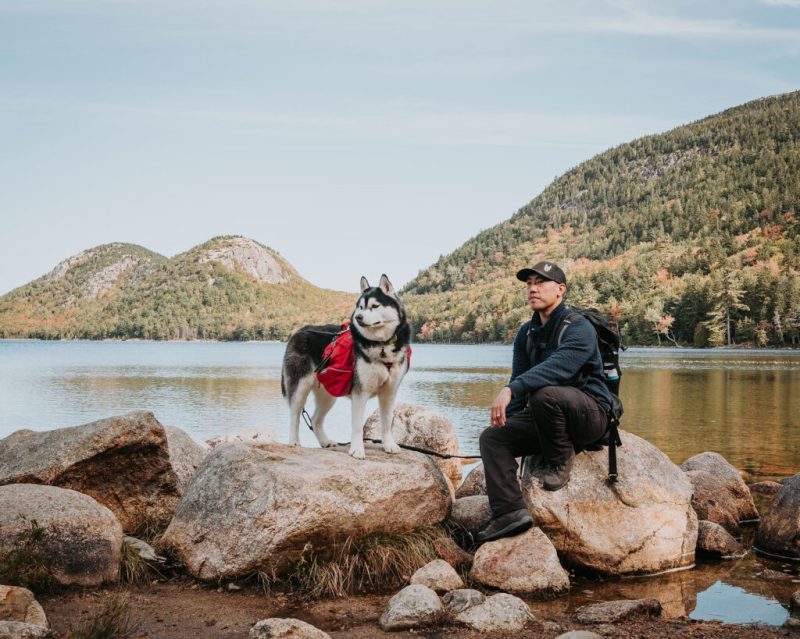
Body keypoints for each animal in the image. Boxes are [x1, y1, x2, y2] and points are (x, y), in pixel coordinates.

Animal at [282, 276, 412, 460]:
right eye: (360, 307)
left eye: (375, 306)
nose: (358, 317)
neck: (381, 345)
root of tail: (298, 331)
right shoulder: (360, 393)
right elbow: (357, 425)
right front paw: (357, 449)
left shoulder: (389, 392)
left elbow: (387, 422)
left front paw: (389, 445)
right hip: (300, 387)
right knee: (295, 415)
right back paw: (293, 441)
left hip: (328, 394)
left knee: (315, 419)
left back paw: (325, 441)